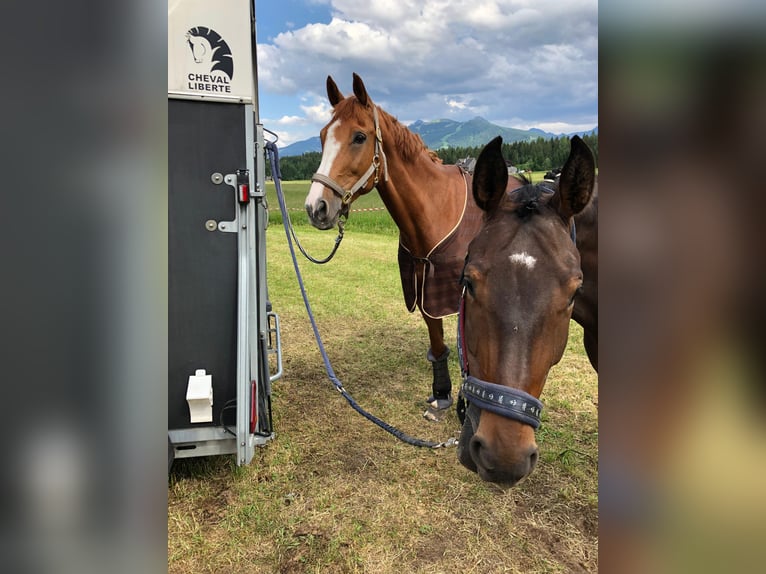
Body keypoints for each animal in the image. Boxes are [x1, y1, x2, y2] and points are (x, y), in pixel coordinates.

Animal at [304, 73, 597, 422]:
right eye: (323, 136)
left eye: (359, 137)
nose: (316, 207)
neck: (434, 210)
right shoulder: (426, 287)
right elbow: (439, 343)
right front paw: (442, 394)